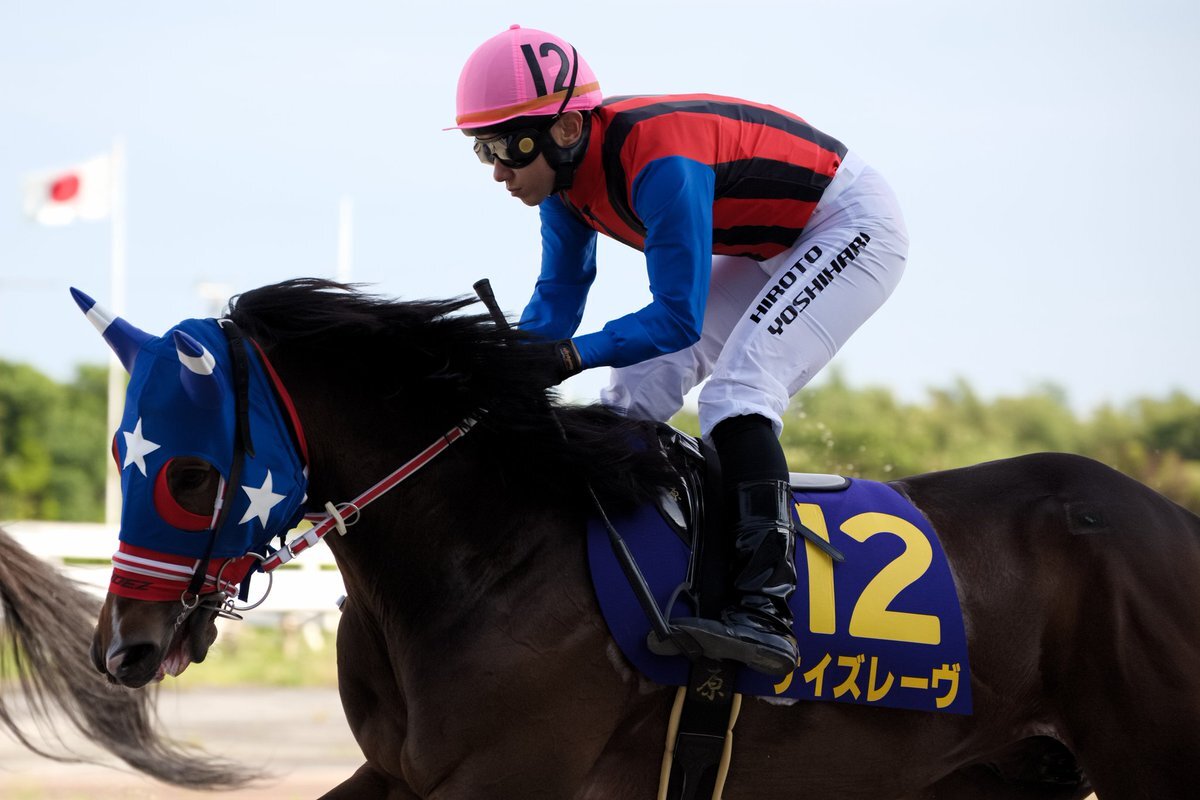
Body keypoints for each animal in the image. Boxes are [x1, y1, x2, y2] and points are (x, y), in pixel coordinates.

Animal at [84, 278, 1200, 799]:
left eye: (188, 472)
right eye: (121, 453)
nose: (124, 646)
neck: (488, 546)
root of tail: (1174, 517)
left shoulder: (508, 775)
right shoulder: (404, 771)